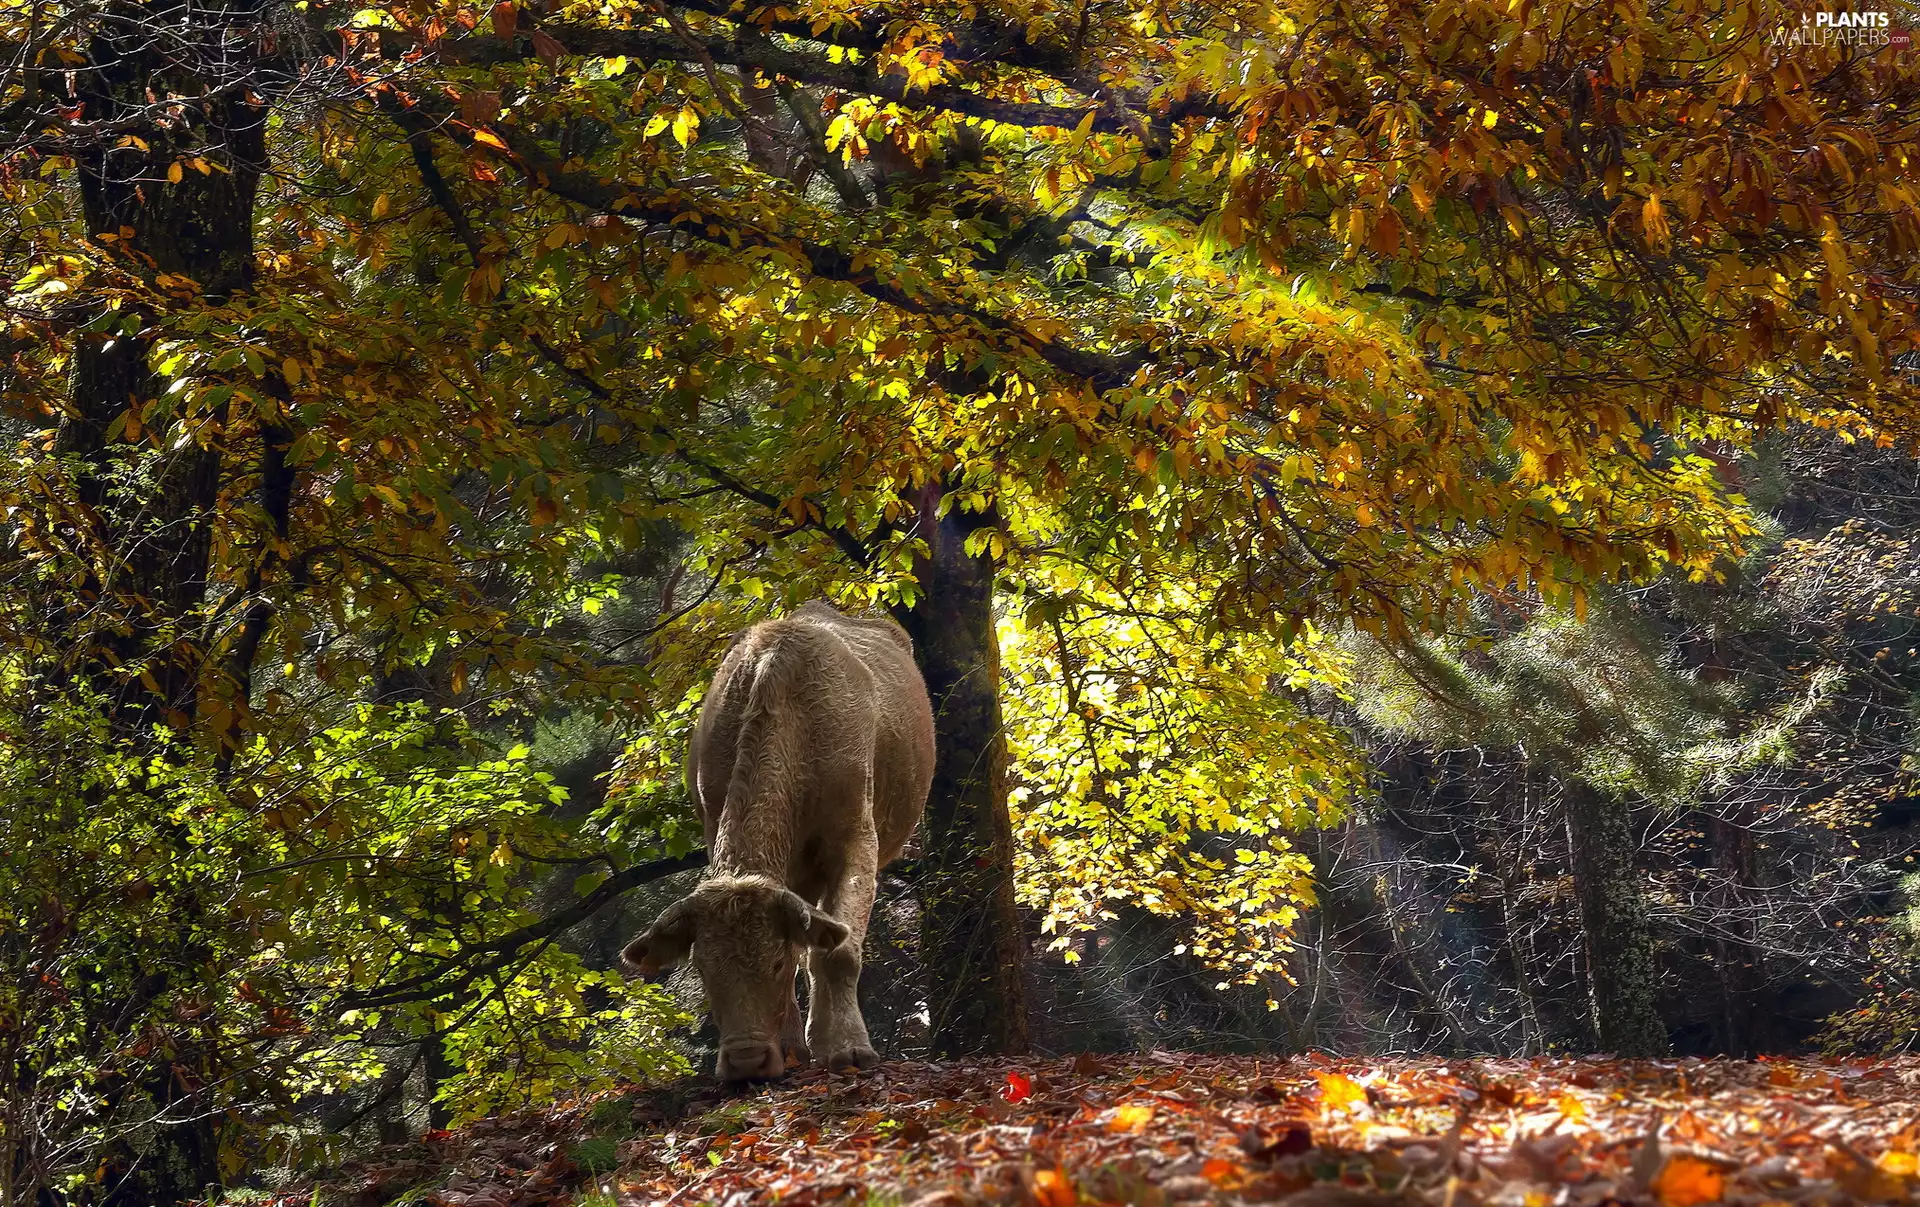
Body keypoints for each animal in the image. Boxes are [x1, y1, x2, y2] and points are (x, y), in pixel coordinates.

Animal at [621, 601, 936, 1080]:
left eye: (774, 961)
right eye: (703, 969)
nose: (745, 1060)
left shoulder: (856, 841)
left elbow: (837, 951)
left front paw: (848, 1048)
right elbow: (809, 950)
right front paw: (791, 1049)